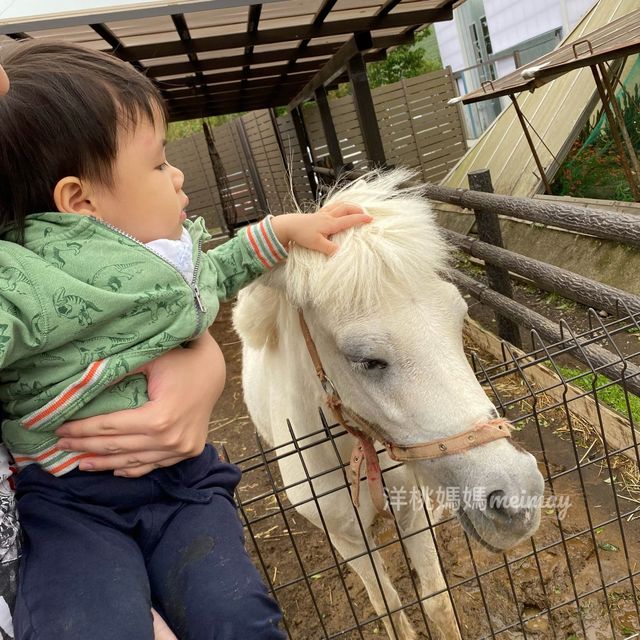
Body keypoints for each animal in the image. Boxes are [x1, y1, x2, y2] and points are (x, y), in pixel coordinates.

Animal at [232, 170, 544, 640]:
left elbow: (437, 604)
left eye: (459, 319)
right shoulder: (349, 541)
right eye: (366, 360)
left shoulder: (411, 514)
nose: (517, 500)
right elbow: (390, 607)